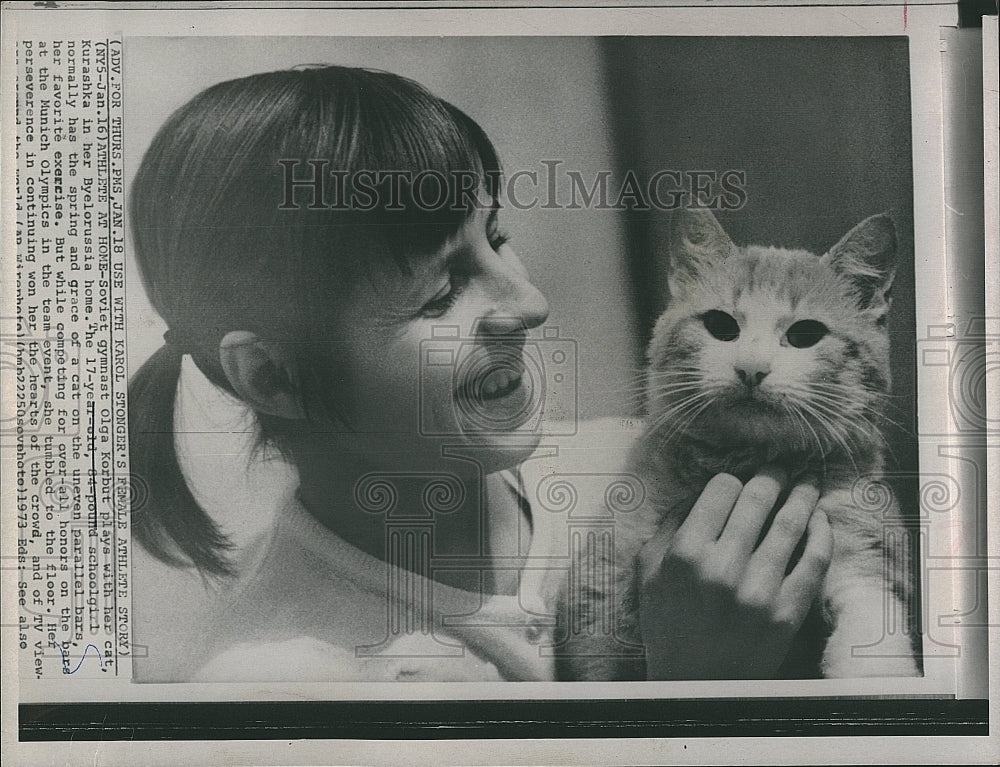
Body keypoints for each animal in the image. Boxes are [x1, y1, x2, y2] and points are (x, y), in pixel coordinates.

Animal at [556, 210, 920, 684]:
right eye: (721, 326)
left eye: (806, 334)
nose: (751, 369)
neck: (751, 463)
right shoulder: (598, 585)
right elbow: (599, 652)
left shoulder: (864, 548)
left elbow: (871, 634)